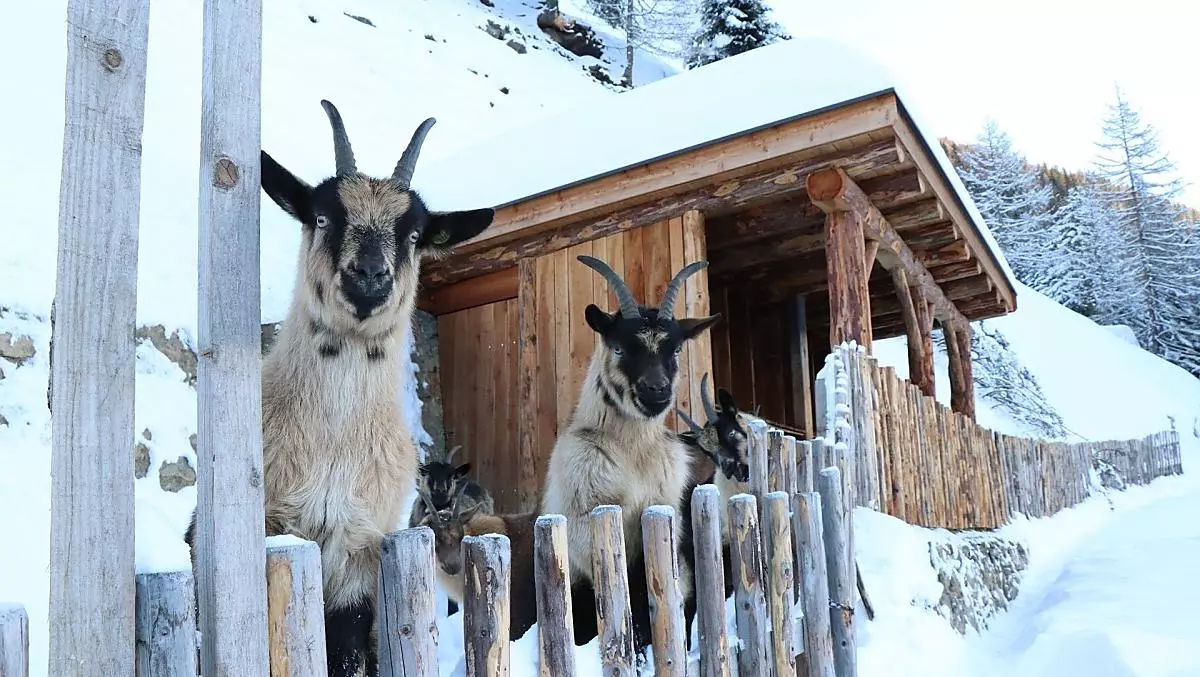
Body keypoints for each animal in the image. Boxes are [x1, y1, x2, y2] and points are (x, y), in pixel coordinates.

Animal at [184, 99, 495, 677]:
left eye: (413, 235)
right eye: (324, 216)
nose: (370, 275)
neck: (333, 445)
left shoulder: (358, 551)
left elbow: (347, 652)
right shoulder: (276, 528)